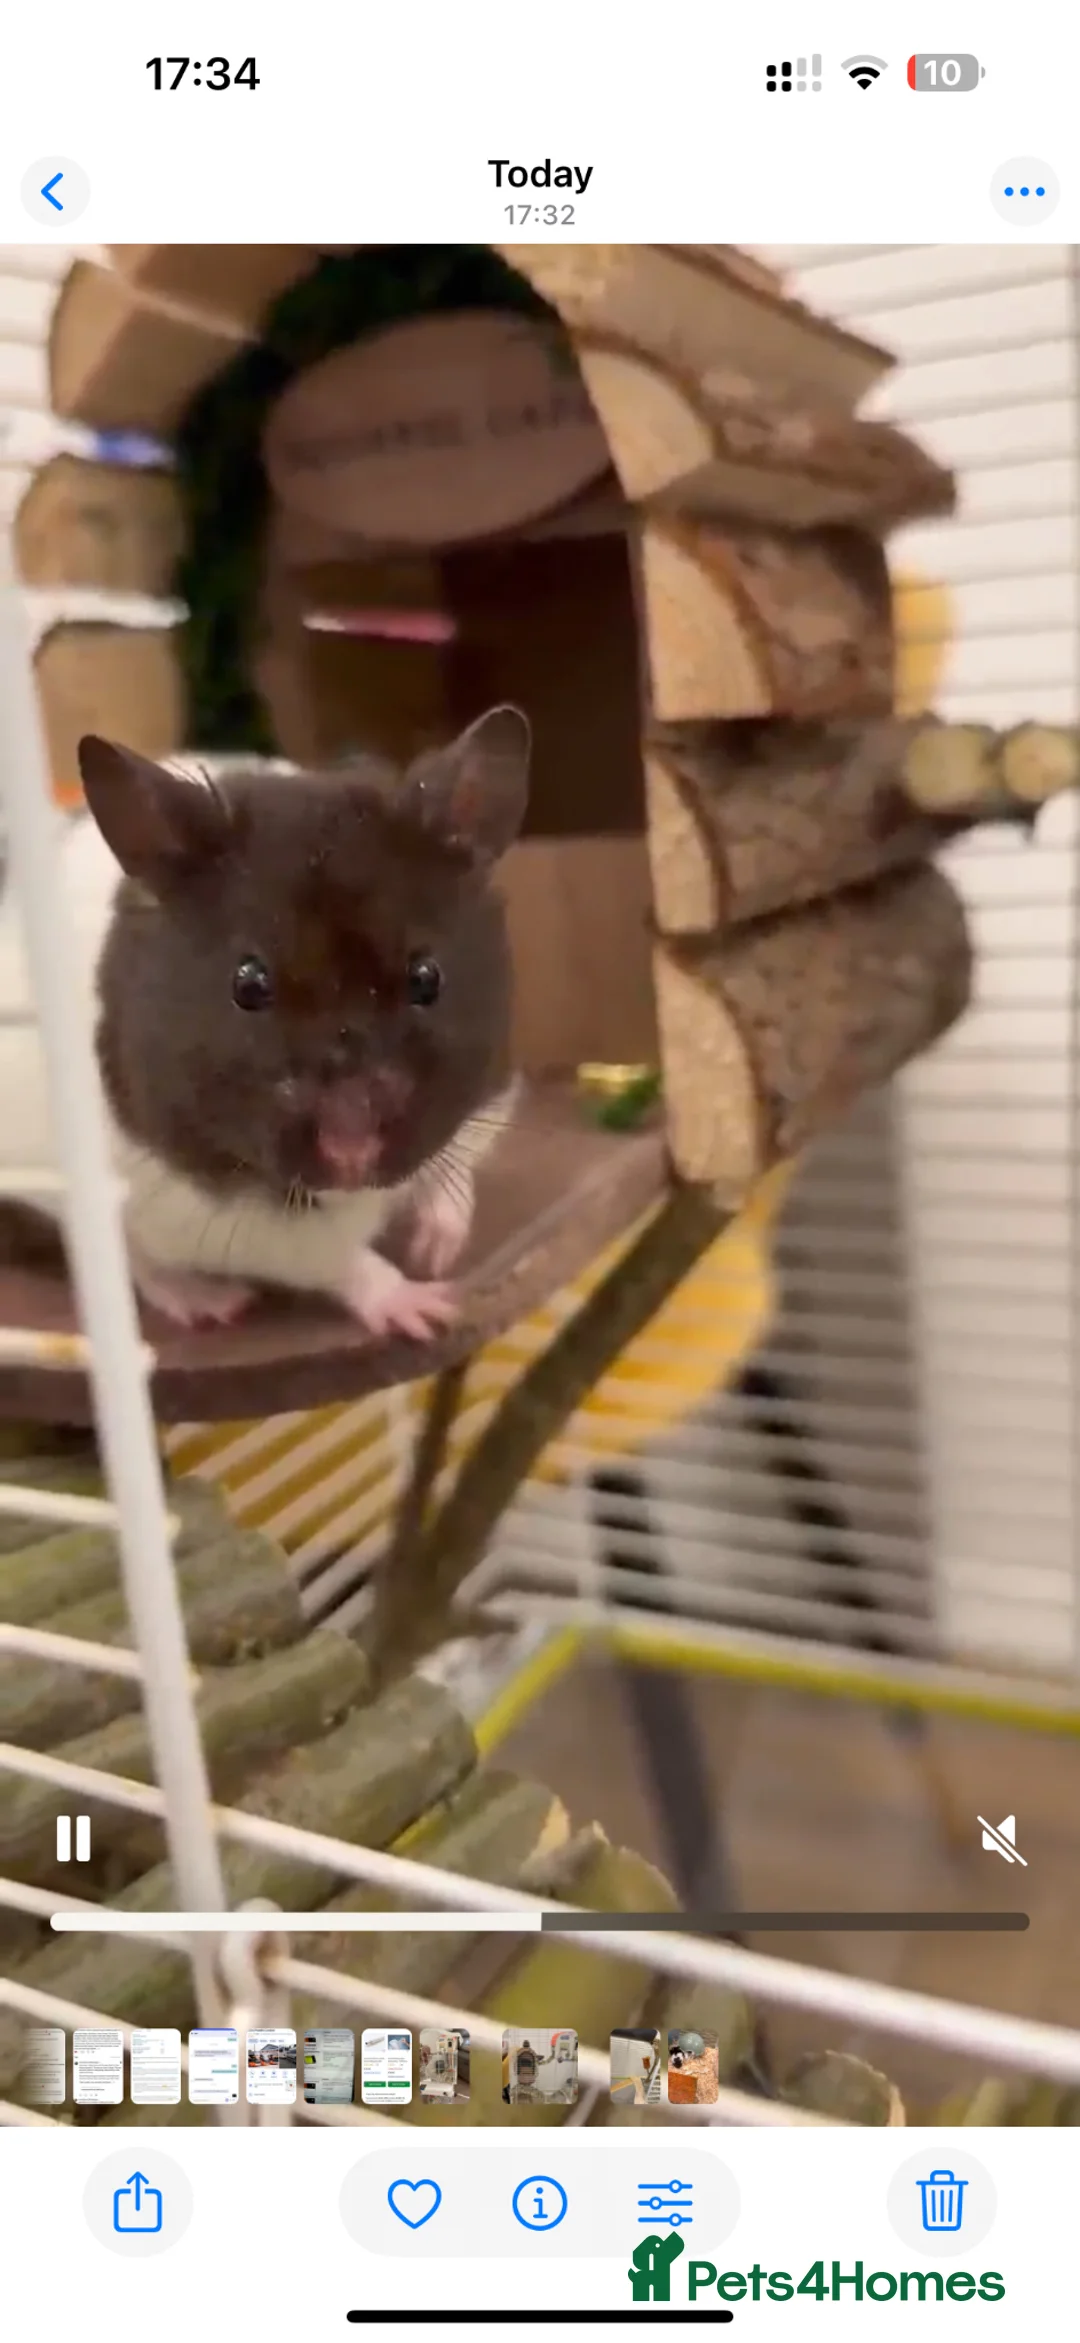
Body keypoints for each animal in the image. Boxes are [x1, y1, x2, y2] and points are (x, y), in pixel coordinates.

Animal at [0, 704, 530, 1339]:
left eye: (427, 978)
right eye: (247, 985)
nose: (351, 1156)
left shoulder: (485, 1105)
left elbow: (453, 1183)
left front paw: (437, 1254)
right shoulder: (231, 1219)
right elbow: (340, 1261)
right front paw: (429, 1308)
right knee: (137, 1262)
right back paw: (213, 1303)